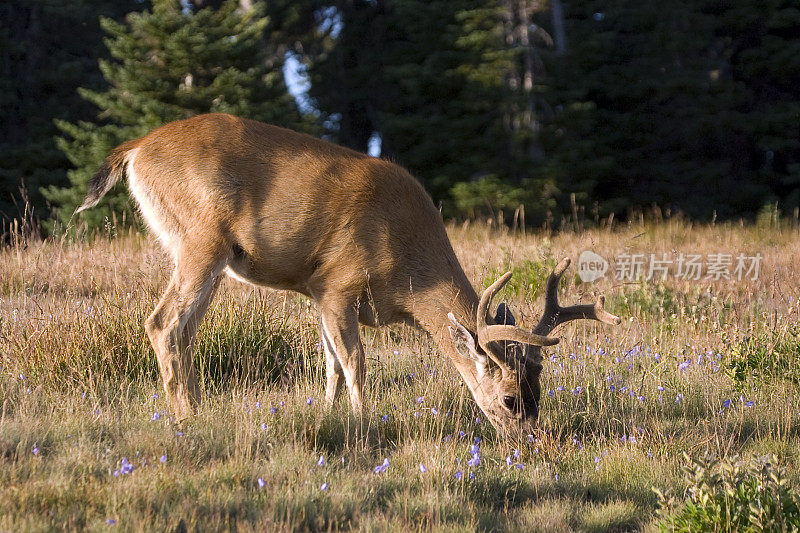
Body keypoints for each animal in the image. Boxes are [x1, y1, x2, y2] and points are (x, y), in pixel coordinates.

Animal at [76, 114, 620, 438]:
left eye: (538, 391)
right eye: (508, 398)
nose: (530, 441)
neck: (408, 273)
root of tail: (135, 149)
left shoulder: (317, 293)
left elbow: (331, 366)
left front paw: (328, 419)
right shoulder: (339, 282)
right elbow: (355, 362)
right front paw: (364, 426)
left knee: (183, 329)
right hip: (201, 238)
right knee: (163, 322)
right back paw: (189, 419)